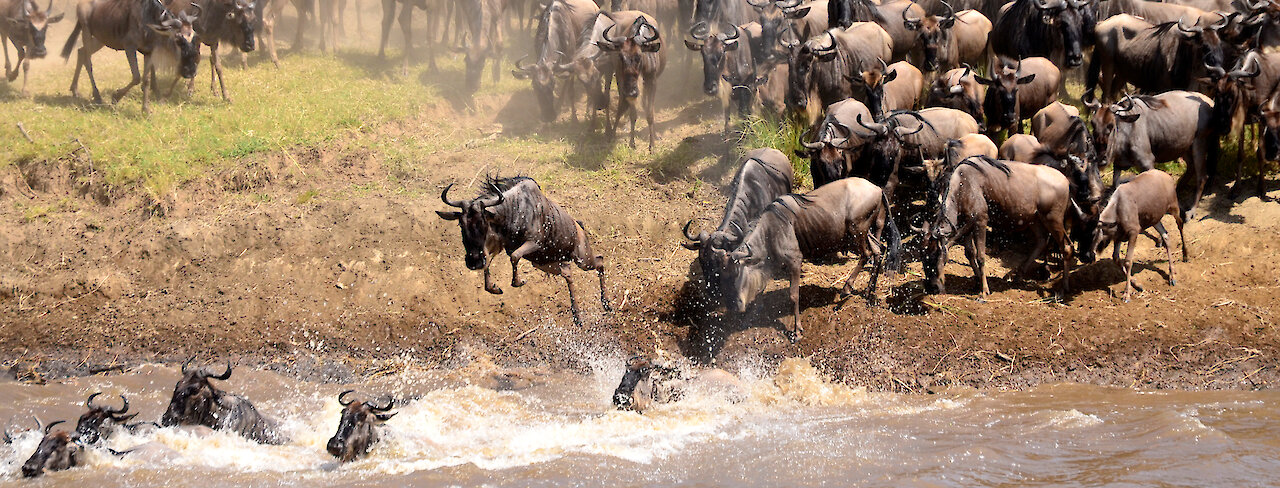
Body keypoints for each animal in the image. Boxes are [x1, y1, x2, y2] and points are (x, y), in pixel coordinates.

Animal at [437, 176, 611, 325]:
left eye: (483, 222)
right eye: (461, 223)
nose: (473, 262)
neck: (513, 211)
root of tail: (579, 226)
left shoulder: (534, 243)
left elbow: (514, 257)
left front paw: (519, 282)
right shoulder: (497, 246)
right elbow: (488, 265)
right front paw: (495, 288)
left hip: (582, 259)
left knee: (600, 261)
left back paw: (606, 304)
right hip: (546, 264)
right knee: (568, 273)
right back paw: (577, 315)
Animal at [721, 176, 901, 340]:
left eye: (737, 273)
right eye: (724, 276)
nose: (735, 306)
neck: (770, 230)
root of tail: (878, 189)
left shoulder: (795, 260)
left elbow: (793, 295)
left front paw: (797, 331)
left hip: (856, 230)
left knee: (867, 254)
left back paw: (846, 289)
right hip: (862, 233)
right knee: (878, 250)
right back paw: (869, 291)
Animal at [1085, 169, 1192, 302]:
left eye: (1094, 234)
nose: (1088, 255)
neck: (1117, 208)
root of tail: (1167, 176)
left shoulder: (1133, 233)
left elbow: (1128, 261)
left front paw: (1127, 294)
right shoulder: (1118, 237)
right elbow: (1116, 258)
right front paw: (1137, 285)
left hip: (1173, 208)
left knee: (1180, 225)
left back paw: (1185, 255)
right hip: (1155, 220)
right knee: (1166, 236)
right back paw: (1172, 275)